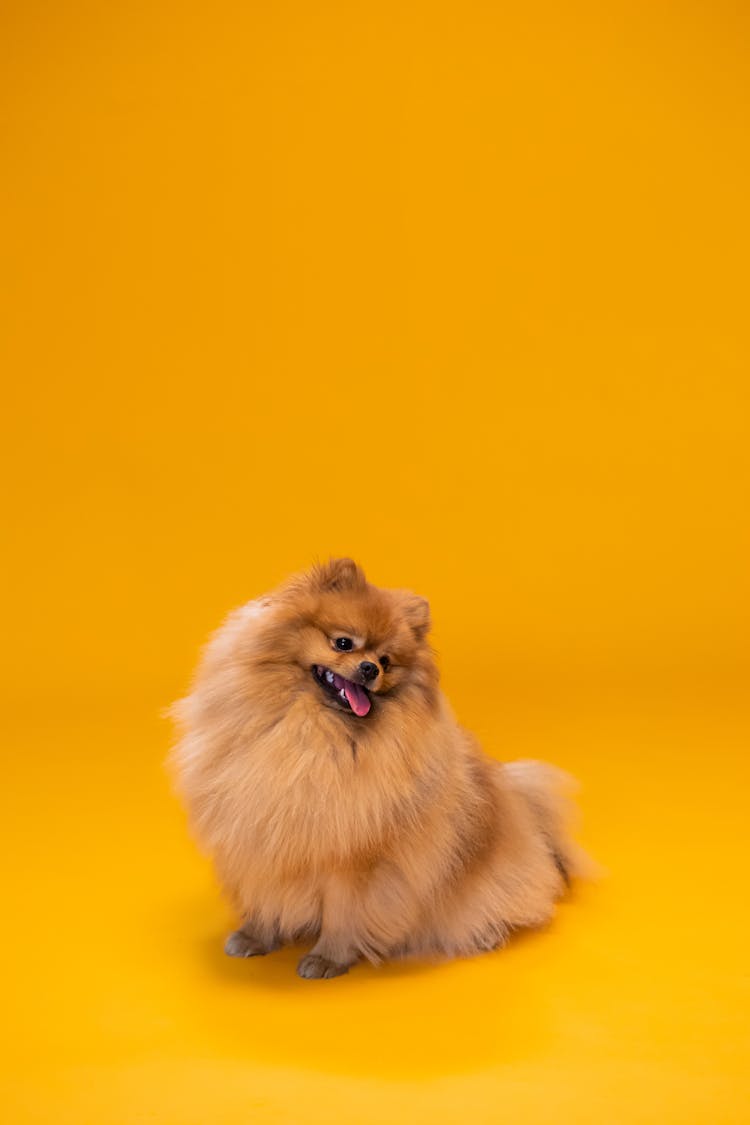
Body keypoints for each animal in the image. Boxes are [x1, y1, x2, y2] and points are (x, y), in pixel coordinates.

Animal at [169, 560, 584, 976]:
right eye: (343, 643)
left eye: (386, 662)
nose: (369, 669)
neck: (310, 733)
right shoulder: (261, 835)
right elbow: (264, 893)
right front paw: (256, 936)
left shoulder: (354, 858)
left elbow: (343, 913)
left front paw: (328, 958)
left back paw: (488, 934)